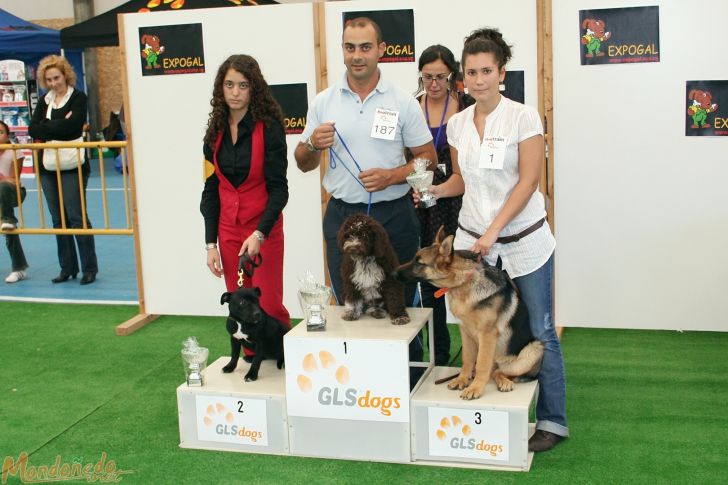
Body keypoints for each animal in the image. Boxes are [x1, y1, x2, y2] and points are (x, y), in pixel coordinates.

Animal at [396, 229, 544, 398]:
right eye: (414, 259)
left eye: (419, 263)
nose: (393, 273)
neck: (465, 281)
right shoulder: (465, 332)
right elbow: (467, 359)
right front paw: (461, 379)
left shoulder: (487, 335)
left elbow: (482, 364)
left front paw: (475, 388)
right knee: (493, 371)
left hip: (534, 349)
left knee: (499, 372)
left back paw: (504, 382)